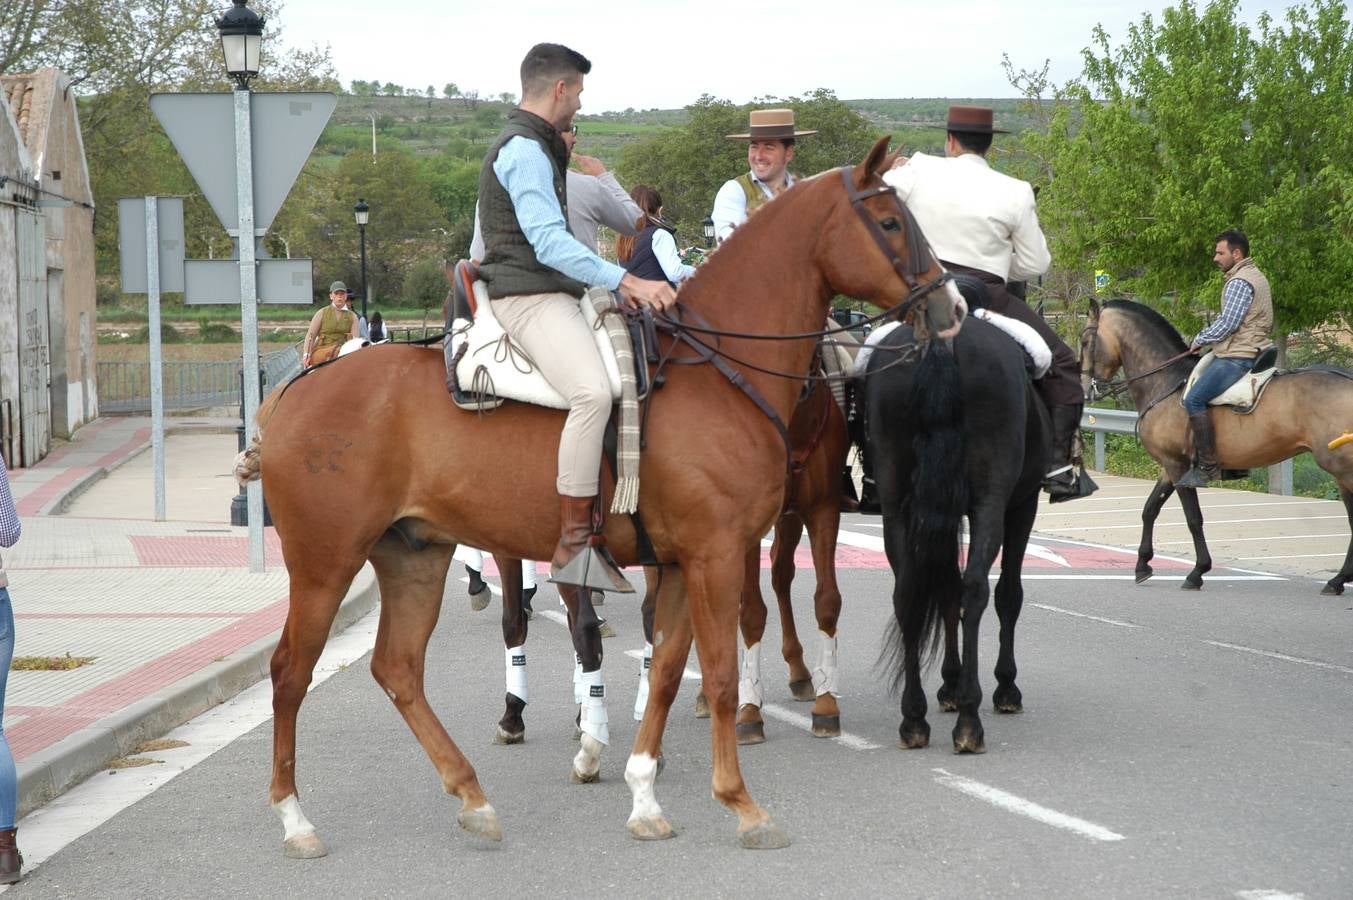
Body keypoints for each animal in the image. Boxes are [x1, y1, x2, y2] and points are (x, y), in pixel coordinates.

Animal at [235, 136, 963, 855]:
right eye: (890, 221)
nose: (951, 307)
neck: (717, 368)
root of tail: (296, 391)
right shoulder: (717, 556)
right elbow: (720, 676)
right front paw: (741, 803)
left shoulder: (681, 564)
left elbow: (667, 671)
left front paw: (644, 795)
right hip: (326, 563)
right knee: (290, 672)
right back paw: (295, 818)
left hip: (413, 555)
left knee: (398, 668)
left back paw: (472, 796)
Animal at [865, 308, 1044, 752]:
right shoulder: (1023, 504)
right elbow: (1007, 595)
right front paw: (1002, 688)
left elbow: (944, 591)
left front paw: (947, 685)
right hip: (992, 503)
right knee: (977, 590)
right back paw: (969, 721)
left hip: (897, 506)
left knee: (908, 593)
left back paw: (914, 718)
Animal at [1082, 296, 1353, 595]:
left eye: (1084, 341)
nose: (1084, 387)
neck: (1166, 382)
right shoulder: (1170, 467)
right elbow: (1150, 509)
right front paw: (1142, 565)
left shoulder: (1178, 468)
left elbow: (1193, 518)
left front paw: (1198, 571)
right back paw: (1338, 579)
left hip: (1342, 469)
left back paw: (1338, 579)